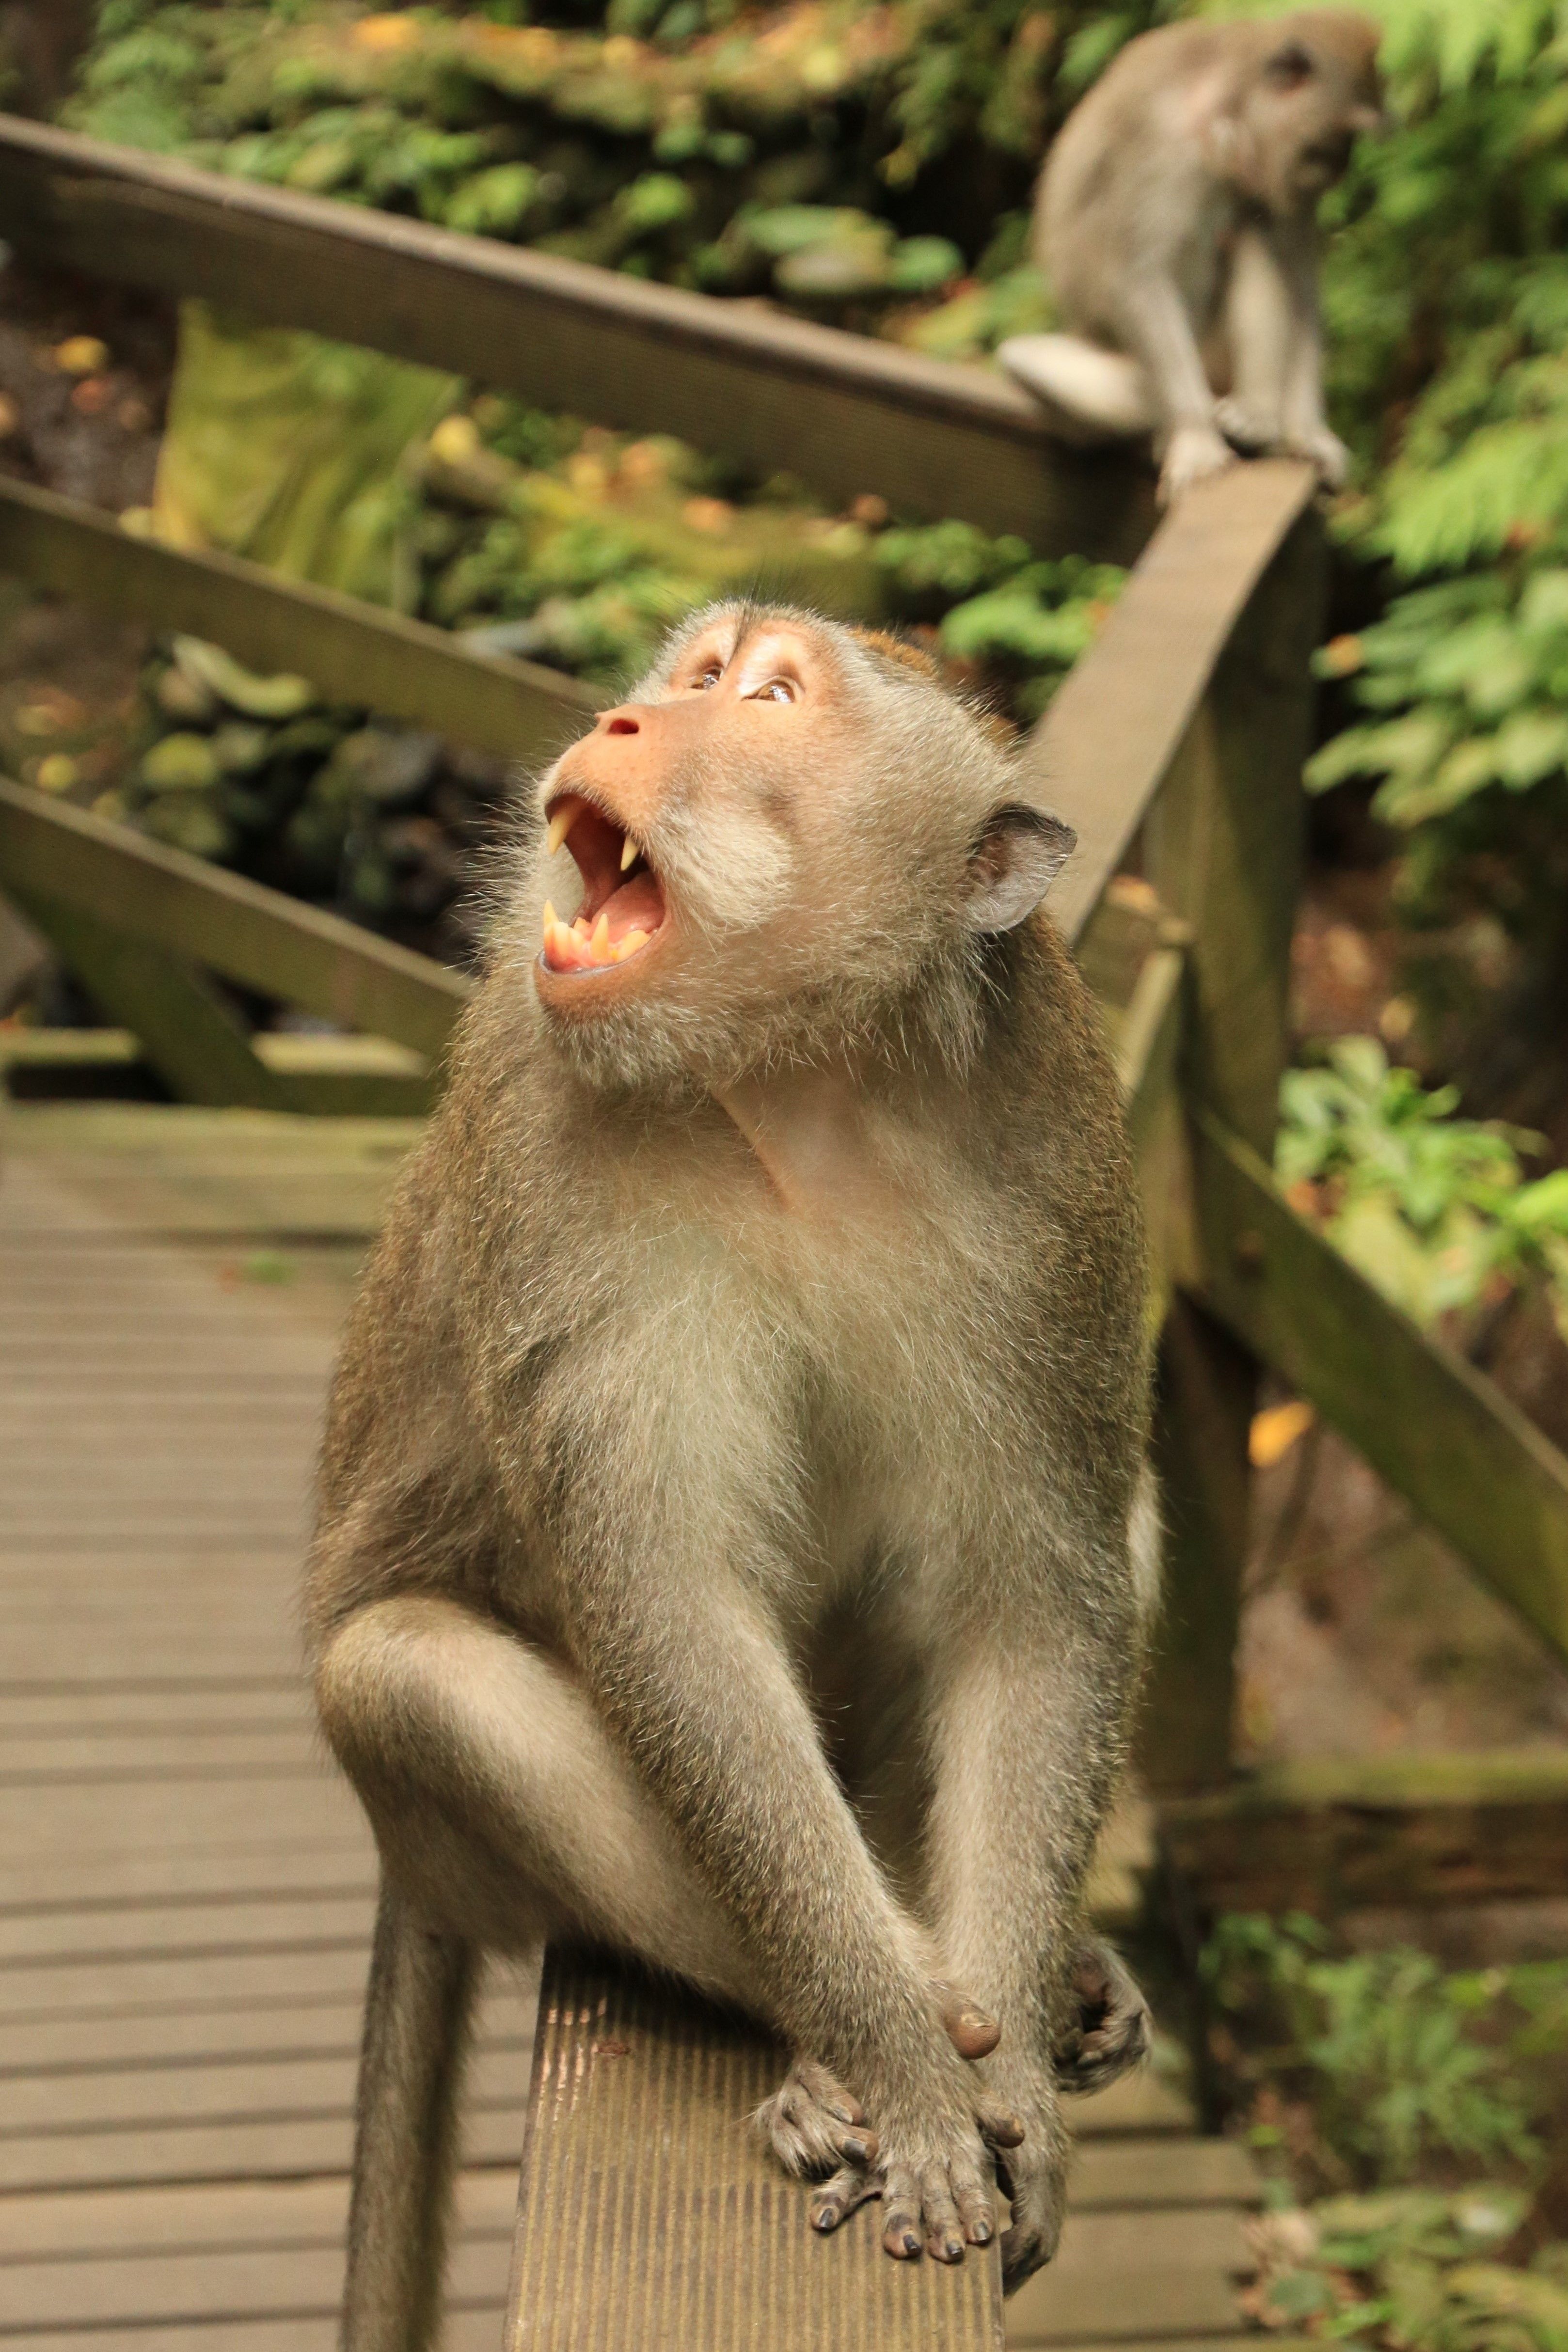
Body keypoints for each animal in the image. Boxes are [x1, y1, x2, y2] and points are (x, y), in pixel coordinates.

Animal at [305, 602, 1157, 2348]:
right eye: (698, 673)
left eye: (766, 698)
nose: (627, 719)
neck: (797, 1080)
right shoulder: (549, 1149)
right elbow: (670, 1613)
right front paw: (908, 2066)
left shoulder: (1057, 1170)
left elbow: (1039, 1603)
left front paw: (1018, 2097)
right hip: (441, 1822)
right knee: (408, 1671)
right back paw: (844, 2034)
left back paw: (1048, 1977)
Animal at [997, 12, 1384, 505]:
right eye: (1339, 135)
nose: (1340, 168)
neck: (1223, 110)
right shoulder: (1161, 142)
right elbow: (1138, 276)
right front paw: (1196, 438)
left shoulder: (1276, 177)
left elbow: (1299, 278)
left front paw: (1309, 432)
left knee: (1251, 233)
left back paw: (1256, 415)